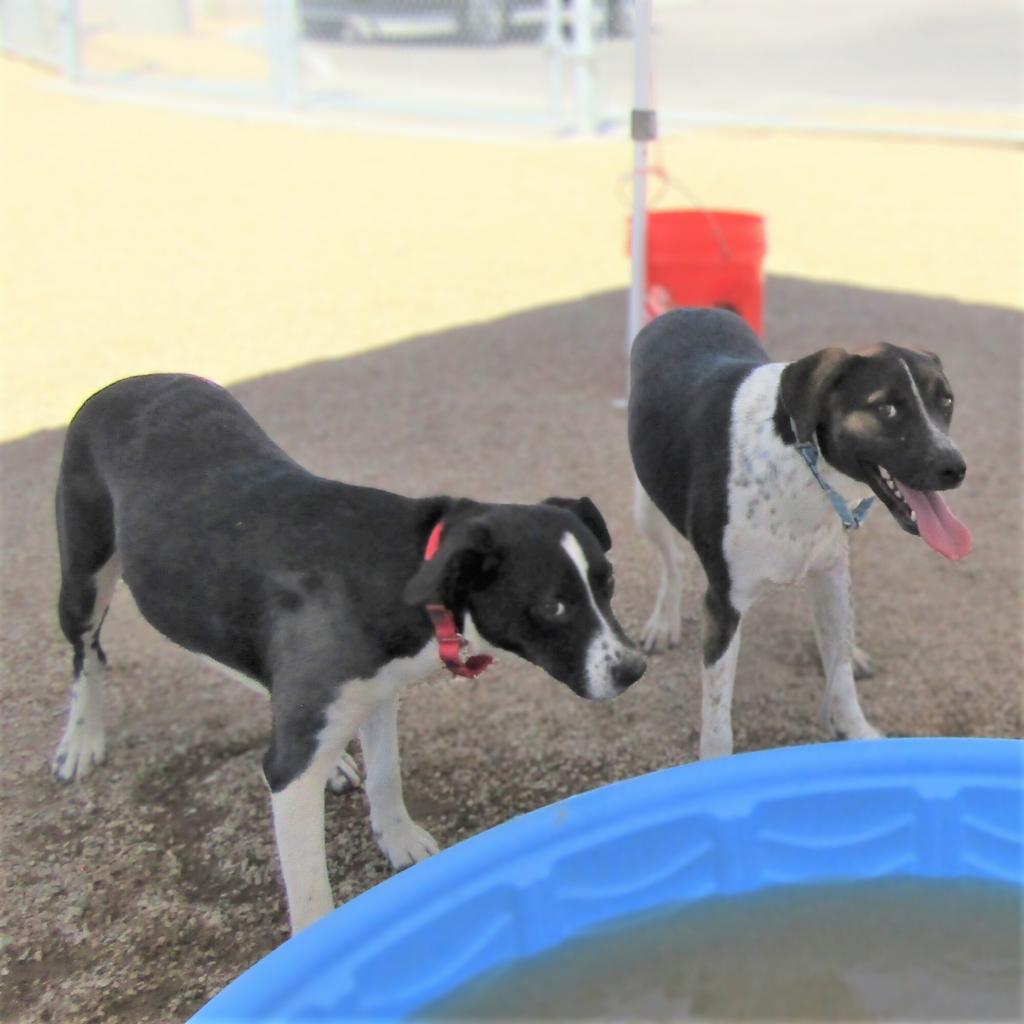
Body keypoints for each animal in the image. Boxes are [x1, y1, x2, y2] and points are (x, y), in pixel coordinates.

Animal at [51, 378, 643, 937]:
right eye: (551, 606)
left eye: (609, 583)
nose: (632, 670)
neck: (403, 568)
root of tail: (126, 383)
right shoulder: (293, 770)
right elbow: (311, 890)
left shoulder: (377, 690)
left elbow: (385, 773)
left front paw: (397, 837)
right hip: (83, 578)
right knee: (89, 655)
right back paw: (80, 739)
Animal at [626, 307, 970, 757]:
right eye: (886, 409)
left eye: (945, 400)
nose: (956, 468)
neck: (801, 465)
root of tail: (687, 310)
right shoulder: (723, 605)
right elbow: (717, 723)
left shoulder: (831, 572)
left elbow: (840, 678)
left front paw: (859, 732)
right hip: (645, 508)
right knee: (672, 563)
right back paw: (663, 622)